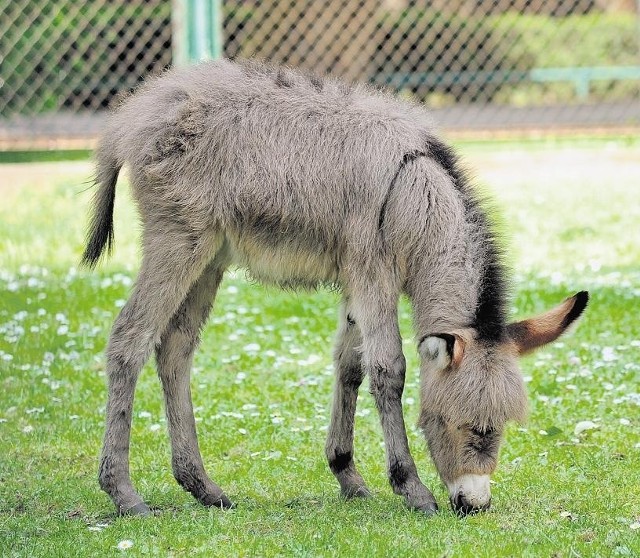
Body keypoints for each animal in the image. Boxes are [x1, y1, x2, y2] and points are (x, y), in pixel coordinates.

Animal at [82, 59, 588, 520]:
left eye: (499, 428)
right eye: (463, 425)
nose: (474, 505)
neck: (415, 195)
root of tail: (138, 113)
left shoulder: (355, 282)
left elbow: (350, 365)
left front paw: (347, 474)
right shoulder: (373, 275)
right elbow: (388, 369)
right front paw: (411, 487)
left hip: (208, 257)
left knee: (174, 348)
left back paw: (201, 485)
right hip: (177, 242)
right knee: (129, 340)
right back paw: (123, 492)